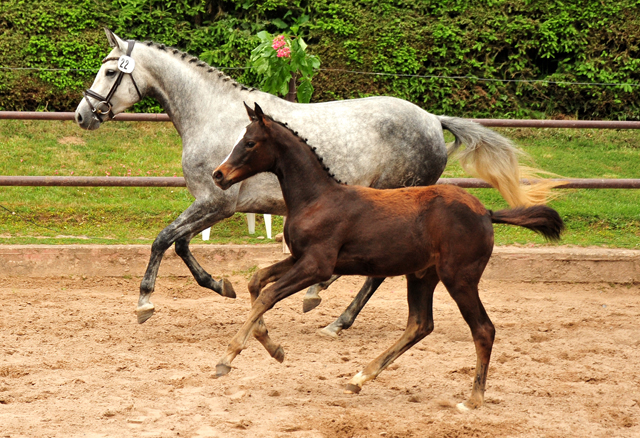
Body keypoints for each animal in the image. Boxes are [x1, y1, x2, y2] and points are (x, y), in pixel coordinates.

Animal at [76, 30, 556, 346]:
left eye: (108, 71)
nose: (83, 114)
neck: (213, 115)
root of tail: (433, 121)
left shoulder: (216, 202)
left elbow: (163, 240)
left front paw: (145, 304)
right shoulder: (210, 202)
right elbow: (180, 245)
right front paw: (221, 285)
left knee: (377, 275)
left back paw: (333, 317)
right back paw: (320, 298)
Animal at [210, 103, 560, 410]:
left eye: (250, 142)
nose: (218, 175)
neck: (316, 198)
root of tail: (486, 213)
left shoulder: (317, 265)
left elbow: (267, 295)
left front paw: (227, 357)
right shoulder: (299, 259)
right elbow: (256, 282)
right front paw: (274, 347)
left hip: (459, 279)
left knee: (483, 329)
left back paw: (473, 399)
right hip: (422, 276)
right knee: (420, 324)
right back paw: (359, 378)